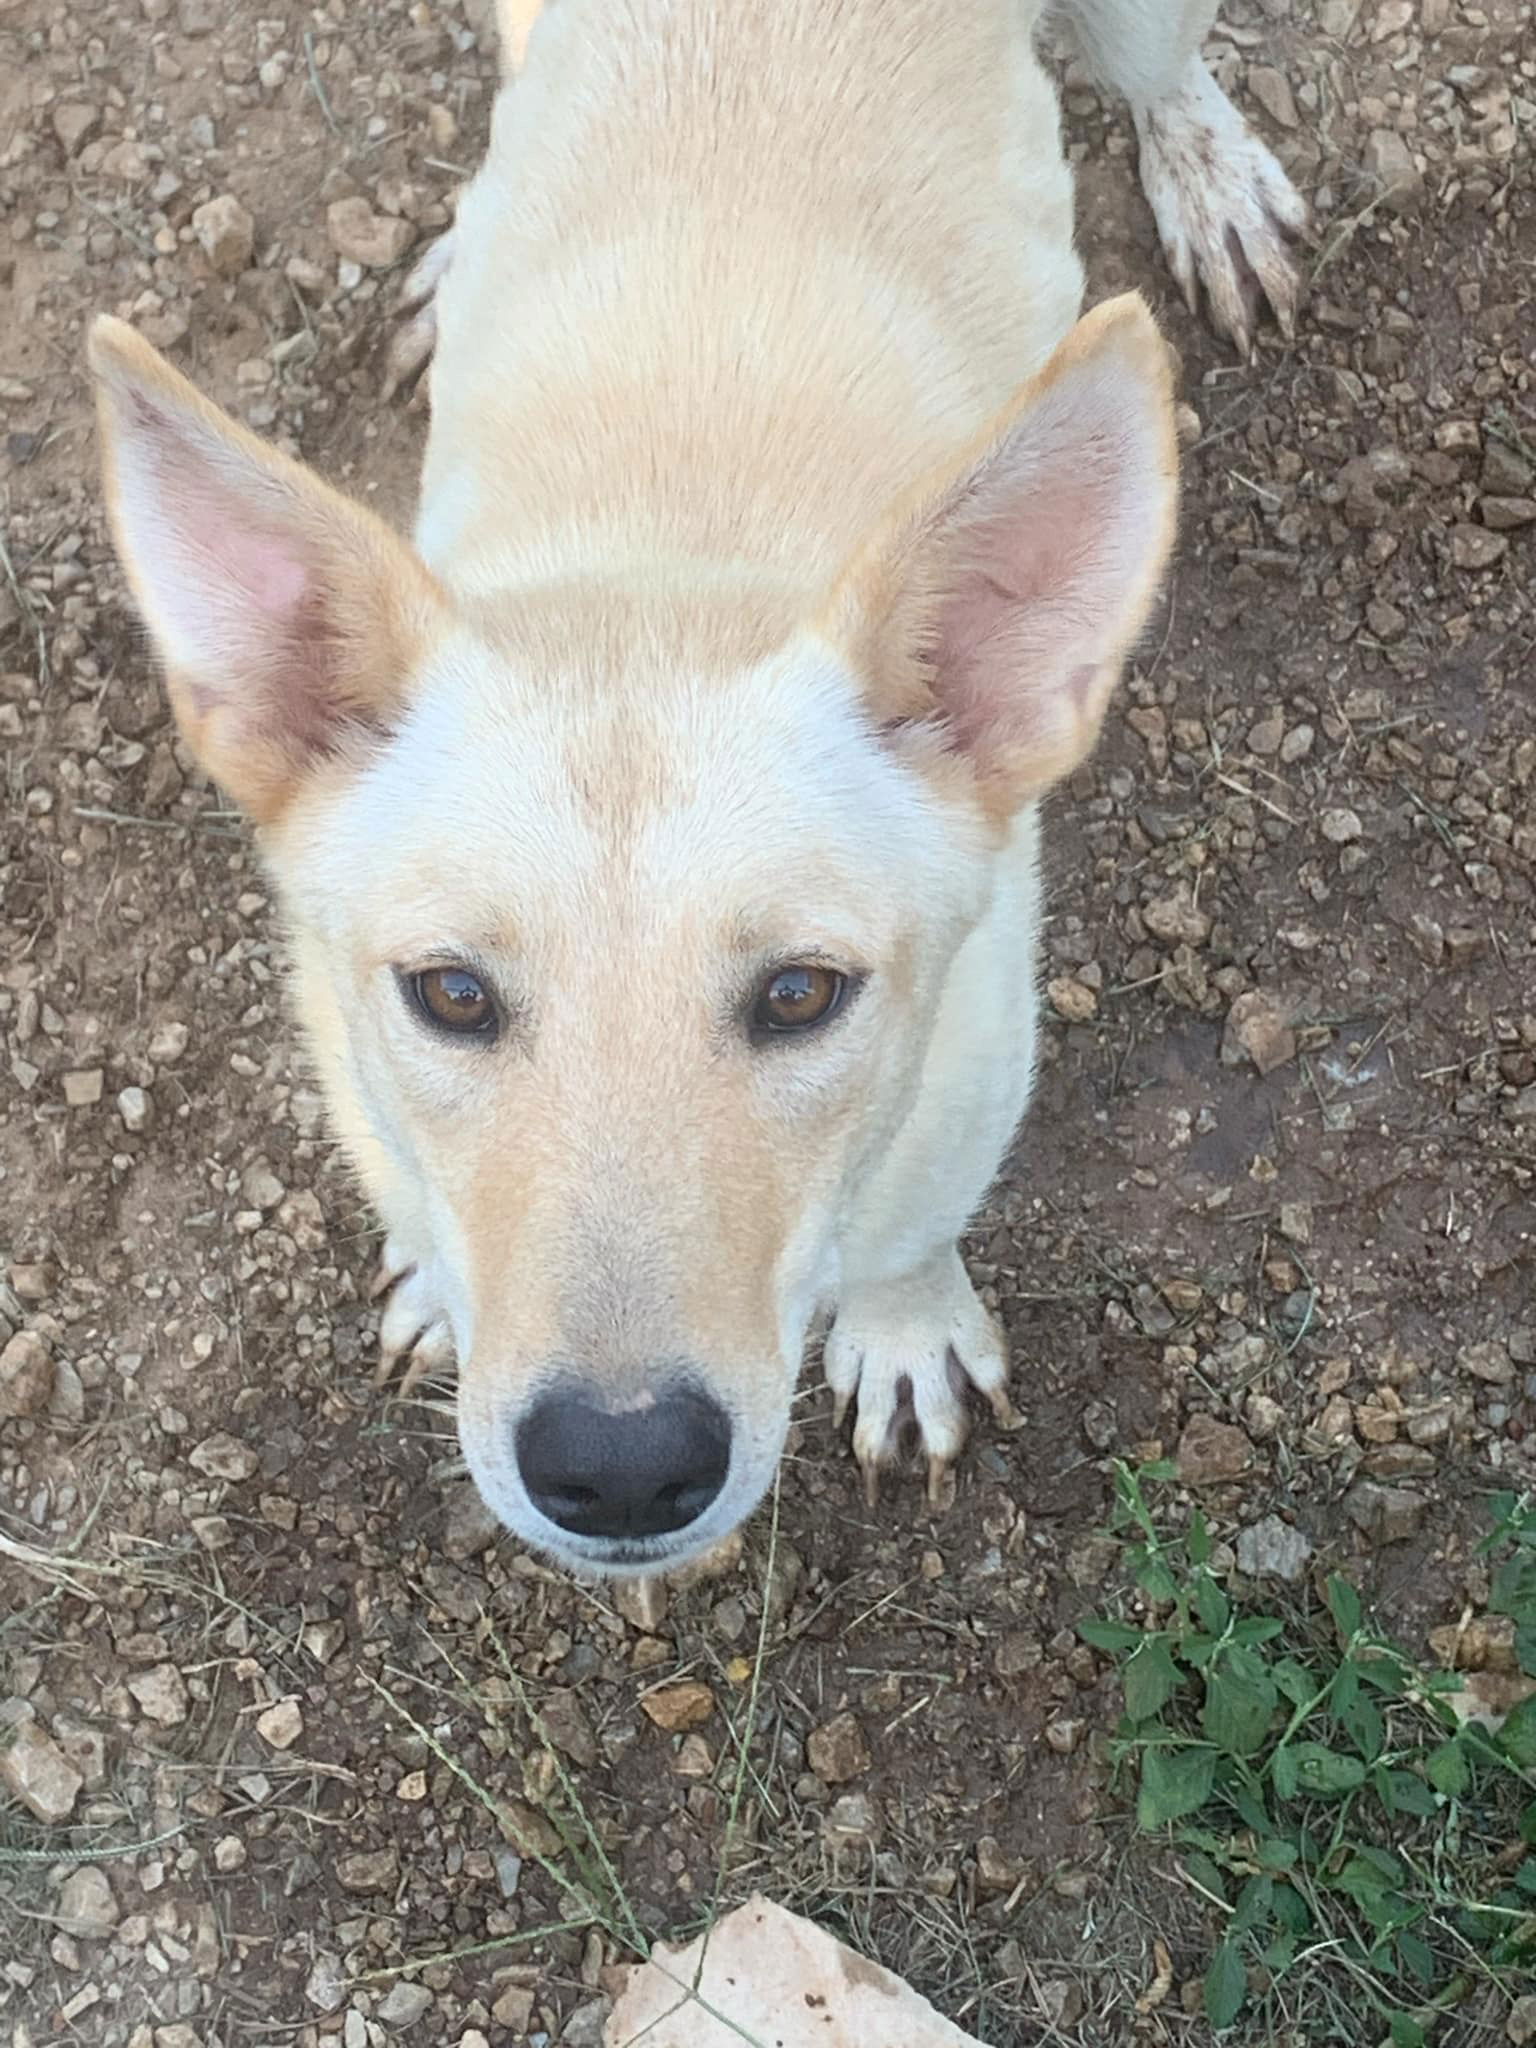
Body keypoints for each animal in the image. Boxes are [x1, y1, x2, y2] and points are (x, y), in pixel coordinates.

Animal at [90, 0, 1302, 1581]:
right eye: (451, 993)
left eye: (800, 992)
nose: (618, 1471)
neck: (663, 545)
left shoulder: (971, 1077)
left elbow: (910, 1236)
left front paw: (902, 1329)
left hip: (1136, 32)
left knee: (1168, 81)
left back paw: (1216, 180)